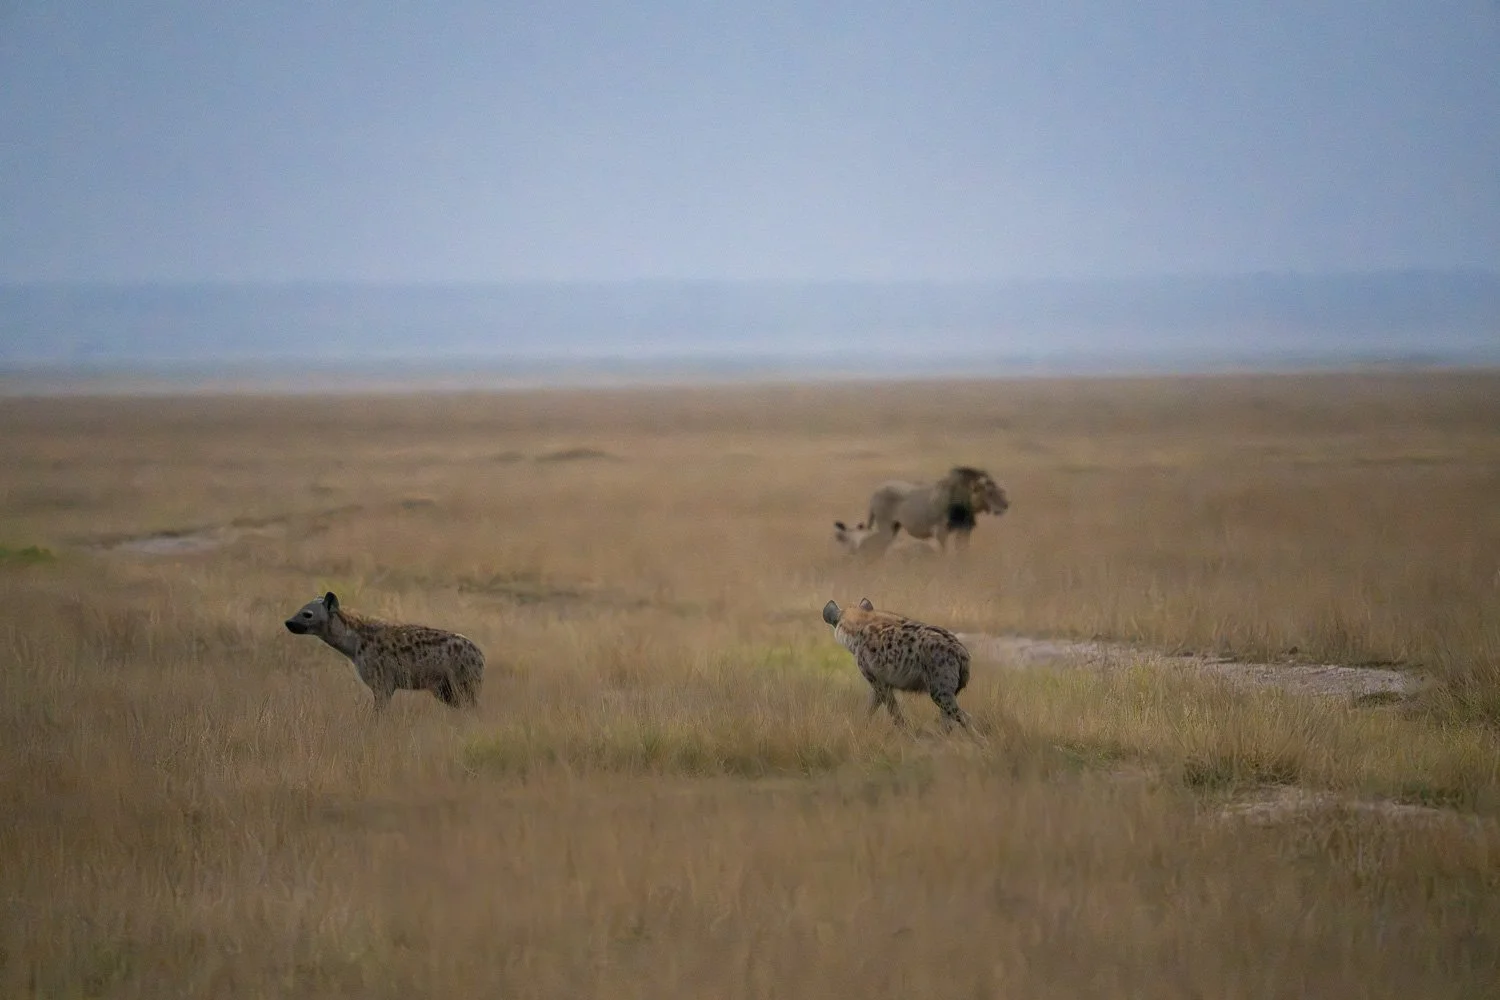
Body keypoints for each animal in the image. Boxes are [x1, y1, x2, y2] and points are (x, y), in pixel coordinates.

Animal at [864, 466, 1009, 552]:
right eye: (990, 492)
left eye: (1000, 490)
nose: (1006, 505)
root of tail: (875, 492)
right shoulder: (941, 531)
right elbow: (945, 553)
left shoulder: (964, 529)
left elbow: (963, 552)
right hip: (885, 526)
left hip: (895, 526)